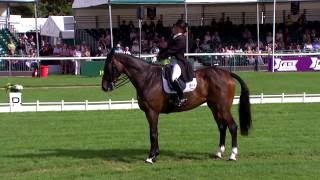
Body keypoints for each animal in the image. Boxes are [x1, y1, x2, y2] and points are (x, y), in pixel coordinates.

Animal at [101, 50, 251, 164]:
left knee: (232, 126)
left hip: (223, 107)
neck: (147, 78)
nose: (104, 87)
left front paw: (151, 157)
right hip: (214, 107)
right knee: (222, 127)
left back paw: (233, 155)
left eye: (109, 66)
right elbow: (155, 132)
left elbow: (153, 133)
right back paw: (219, 153)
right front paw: (155, 155)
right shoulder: (151, 113)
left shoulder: (152, 112)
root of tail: (227, 73)